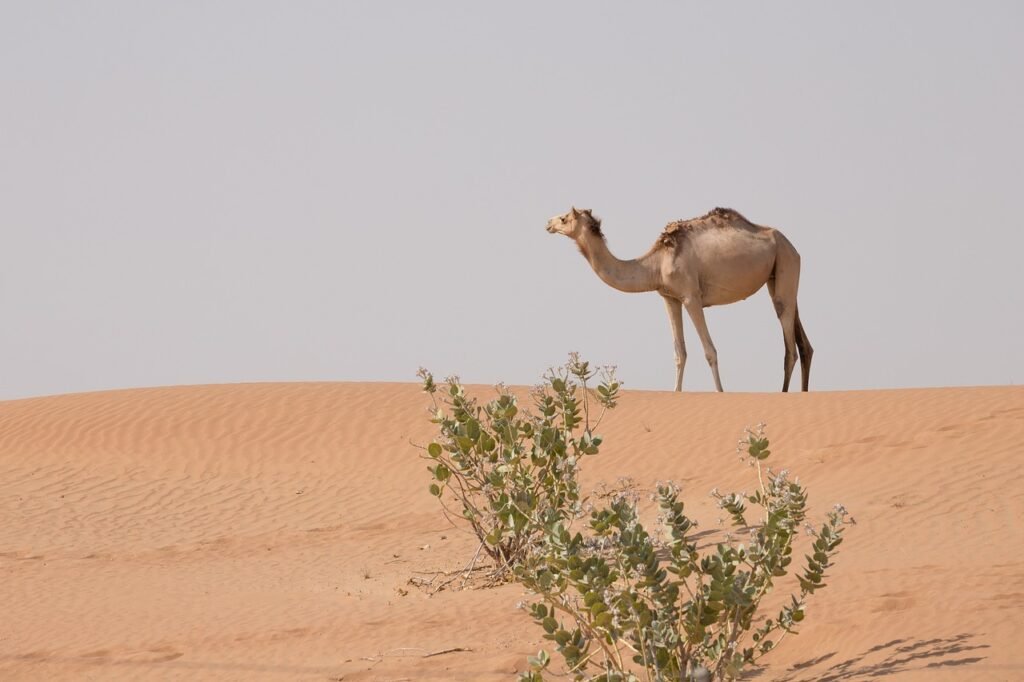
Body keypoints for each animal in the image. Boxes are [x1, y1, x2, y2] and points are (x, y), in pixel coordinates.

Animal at [548, 204, 811, 391]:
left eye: (564, 218)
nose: (548, 223)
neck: (656, 264)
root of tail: (791, 245)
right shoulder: (669, 298)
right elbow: (679, 353)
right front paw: (676, 392)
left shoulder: (691, 296)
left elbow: (710, 351)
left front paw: (720, 393)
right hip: (778, 276)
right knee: (803, 342)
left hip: (785, 261)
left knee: (789, 345)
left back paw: (783, 394)